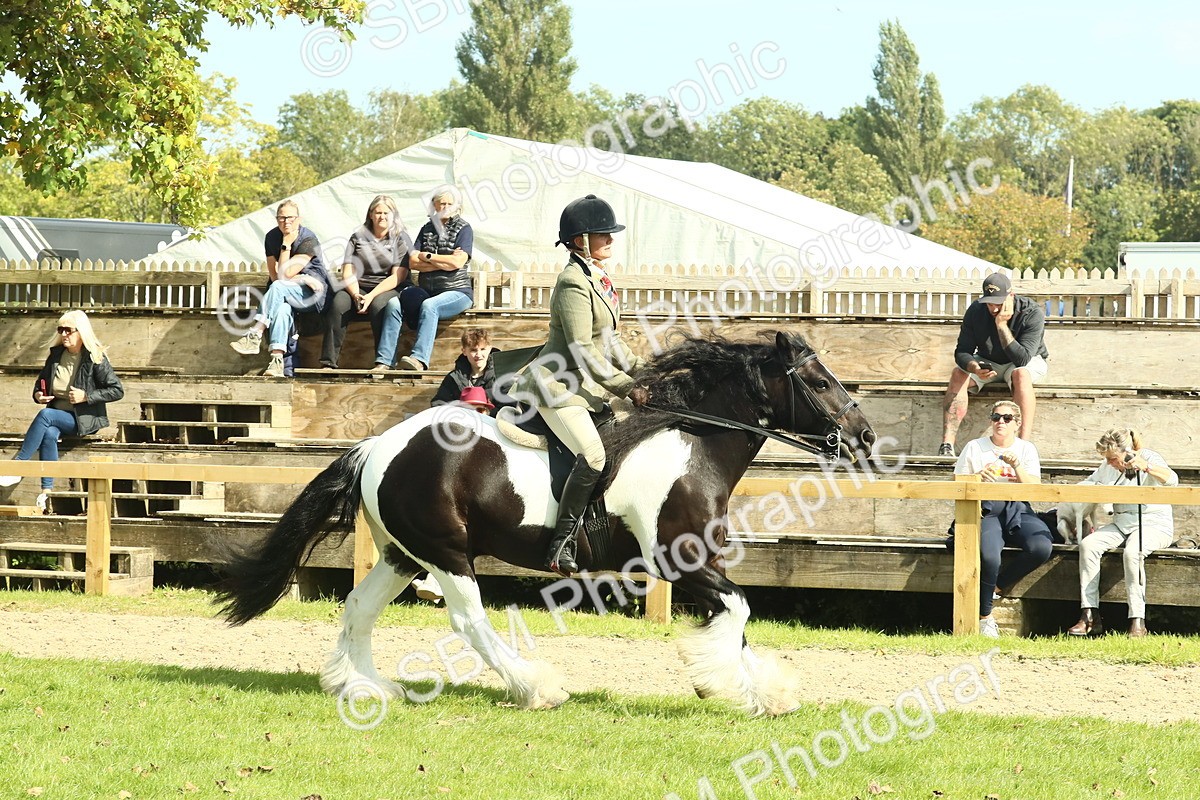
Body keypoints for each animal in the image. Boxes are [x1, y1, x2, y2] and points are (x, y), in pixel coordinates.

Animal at [216, 330, 876, 716]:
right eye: (818, 381)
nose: (866, 435)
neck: (693, 442)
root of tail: (377, 445)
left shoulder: (699, 564)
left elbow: (737, 622)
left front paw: (765, 691)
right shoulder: (680, 560)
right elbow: (738, 611)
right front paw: (725, 686)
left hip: (405, 554)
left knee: (358, 608)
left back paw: (363, 687)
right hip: (447, 554)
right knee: (469, 622)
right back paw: (536, 687)